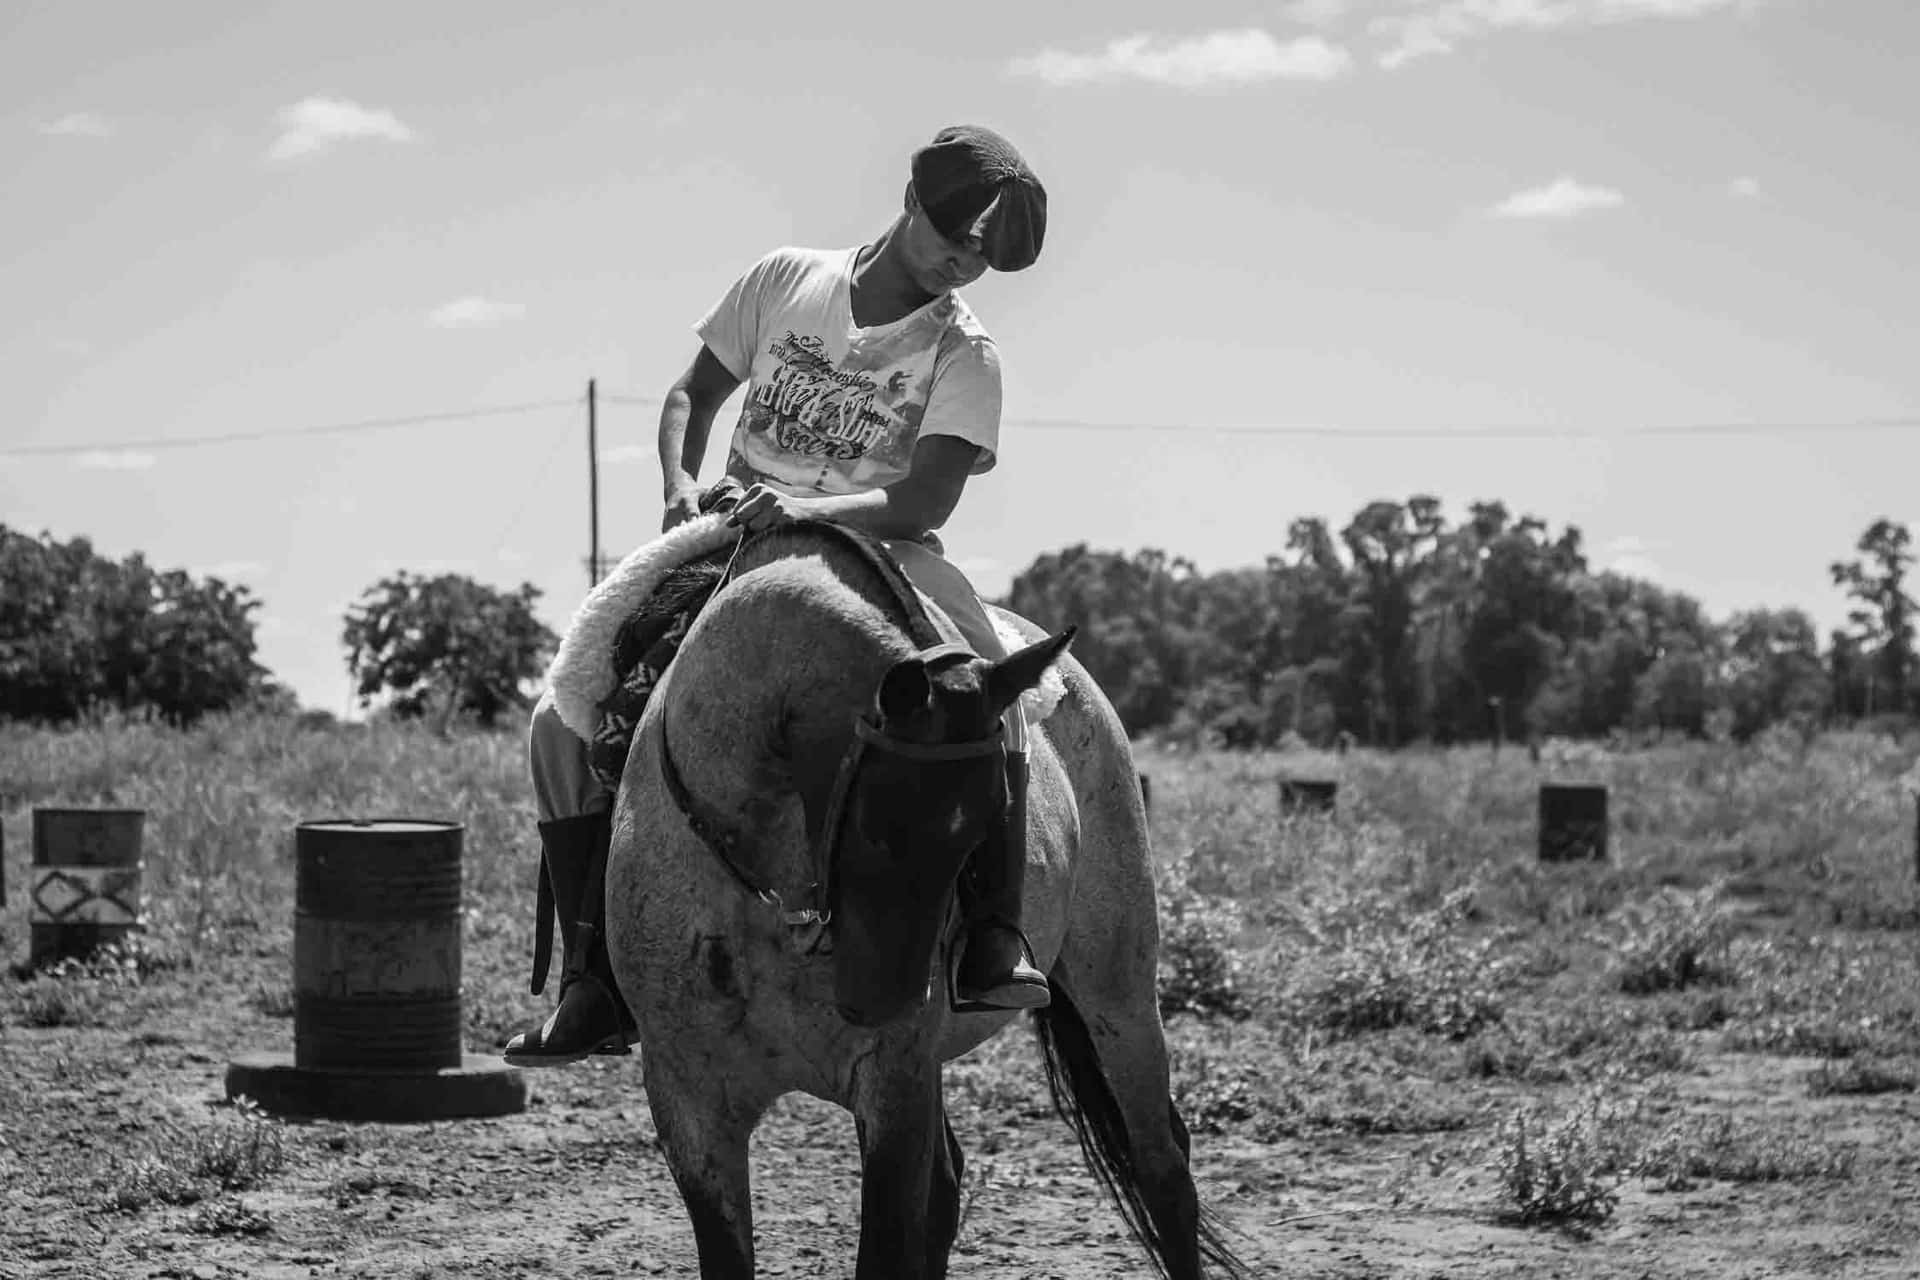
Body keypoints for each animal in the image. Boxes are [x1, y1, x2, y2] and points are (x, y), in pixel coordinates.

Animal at [602, 519, 1249, 1280]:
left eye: (991, 820)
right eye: (874, 826)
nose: (887, 1003)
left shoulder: (895, 1088)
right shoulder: (691, 1106)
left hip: (1119, 994)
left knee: (1162, 1170)